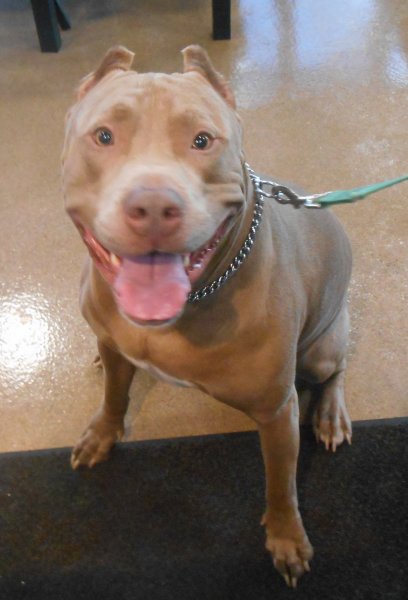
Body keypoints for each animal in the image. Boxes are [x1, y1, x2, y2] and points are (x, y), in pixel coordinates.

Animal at [62, 45, 353, 587]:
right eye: (104, 135)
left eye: (202, 140)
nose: (154, 206)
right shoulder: (115, 345)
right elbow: (114, 393)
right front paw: (102, 433)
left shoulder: (277, 412)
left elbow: (281, 485)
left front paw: (286, 538)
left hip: (325, 345)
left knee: (334, 370)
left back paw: (329, 414)